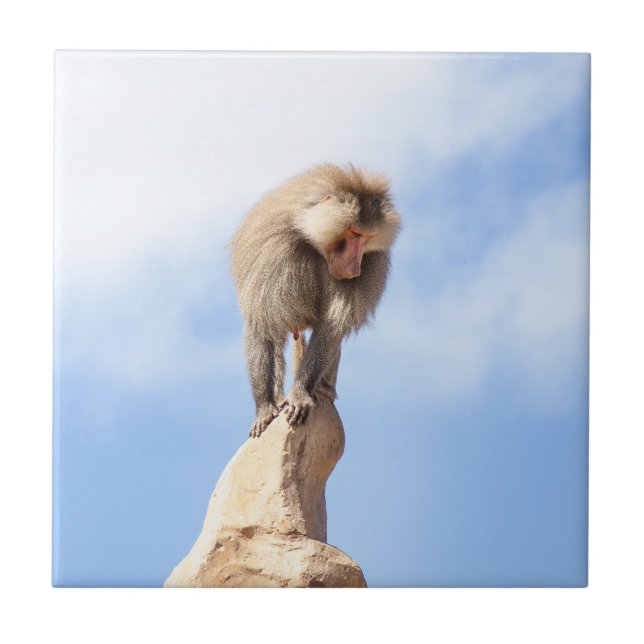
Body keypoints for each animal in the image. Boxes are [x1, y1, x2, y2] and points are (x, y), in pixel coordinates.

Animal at [230, 163, 401, 438]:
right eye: (354, 232)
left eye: (367, 237)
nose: (355, 268)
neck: (311, 238)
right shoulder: (273, 253)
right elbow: (262, 324)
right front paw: (264, 408)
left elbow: (331, 328)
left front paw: (301, 394)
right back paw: (279, 399)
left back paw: (323, 390)